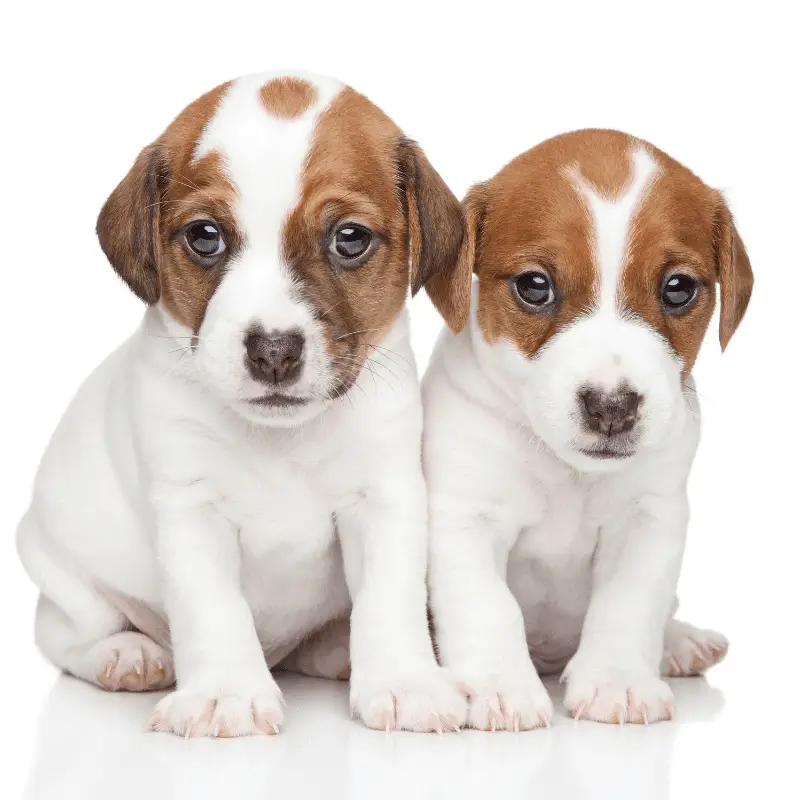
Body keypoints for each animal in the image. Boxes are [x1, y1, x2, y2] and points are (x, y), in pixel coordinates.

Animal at [15, 70, 468, 736]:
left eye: (349, 239)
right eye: (206, 236)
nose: (274, 350)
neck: (280, 438)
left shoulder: (385, 497)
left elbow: (390, 597)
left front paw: (404, 680)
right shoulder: (191, 509)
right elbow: (213, 607)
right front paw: (225, 691)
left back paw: (334, 648)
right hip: (56, 565)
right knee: (66, 632)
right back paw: (125, 653)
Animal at [424, 130, 756, 732]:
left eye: (678, 288)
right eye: (534, 286)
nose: (612, 407)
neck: (569, 471)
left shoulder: (648, 520)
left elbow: (630, 604)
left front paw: (617, 682)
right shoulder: (464, 517)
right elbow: (487, 606)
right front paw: (499, 686)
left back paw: (681, 641)